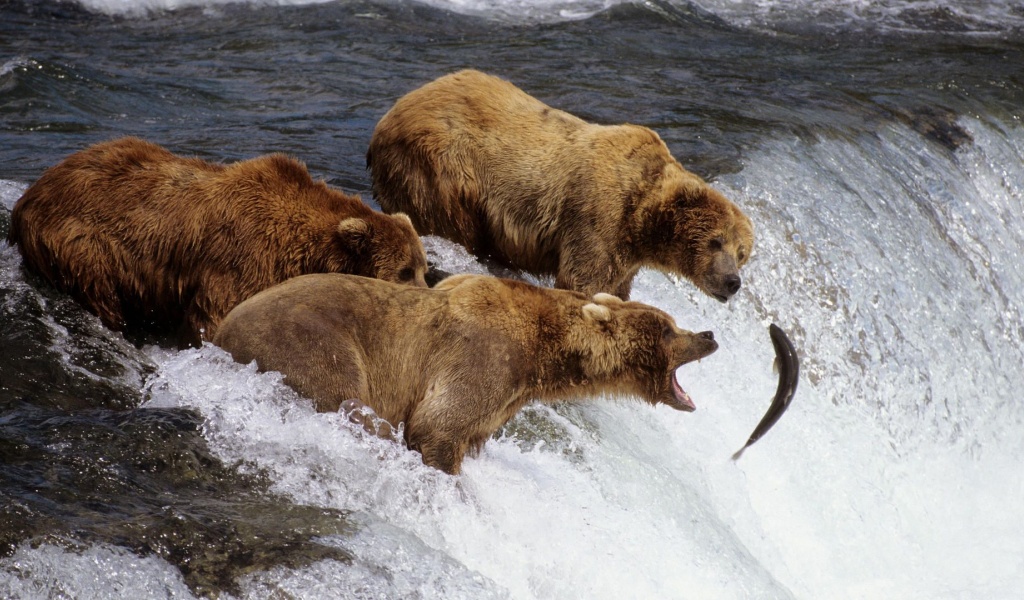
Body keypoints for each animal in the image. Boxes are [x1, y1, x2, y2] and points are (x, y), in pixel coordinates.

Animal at [7, 136, 428, 346]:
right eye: (404, 271)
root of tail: (29, 195)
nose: (426, 296)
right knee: (100, 291)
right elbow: (214, 317)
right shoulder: (242, 259)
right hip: (82, 242)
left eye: (423, 268)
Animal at [211, 270, 716, 470]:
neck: (544, 354)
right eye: (668, 329)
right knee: (349, 401)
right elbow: (438, 424)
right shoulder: (484, 357)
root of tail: (220, 331)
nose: (709, 334)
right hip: (312, 343)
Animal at [368, 69, 753, 301]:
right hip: (441, 166)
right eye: (715, 241)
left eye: (742, 253)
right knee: (449, 221)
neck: (641, 220)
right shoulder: (598, 217)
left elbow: (616, 288)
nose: (733, 282)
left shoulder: (626, 255)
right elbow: (584, 281)